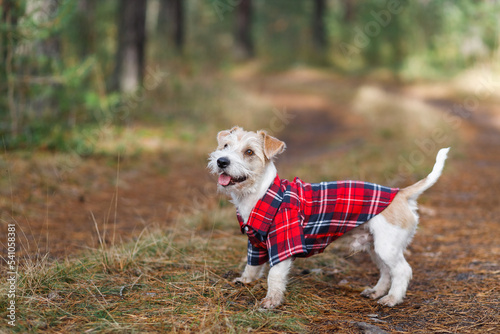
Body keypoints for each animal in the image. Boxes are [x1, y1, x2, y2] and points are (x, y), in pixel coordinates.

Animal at [209, 126, 452, 310]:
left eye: (249, 152)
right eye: (225, 146)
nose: (222, 161)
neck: (261, 193)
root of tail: (400, 193)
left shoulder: (284, 242)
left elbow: (274, 275)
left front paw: (272, 300)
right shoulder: (255, 242)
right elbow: (252, 265)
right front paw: (246, 281)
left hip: (387, 246)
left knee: (402, 271)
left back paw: (392, 299)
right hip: (376, 247)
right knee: (386, 271)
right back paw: (376, 292)